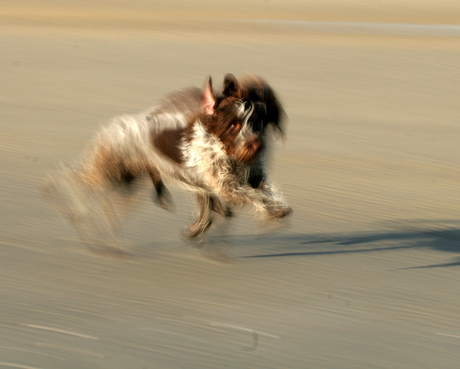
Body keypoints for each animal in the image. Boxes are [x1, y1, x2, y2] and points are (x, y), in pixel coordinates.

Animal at [41, 75, 290, 250]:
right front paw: (275, 211)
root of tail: (112, 125)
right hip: (108, 172)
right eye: (233, 124)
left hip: (128, 183)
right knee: (68, 177)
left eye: (257, 122)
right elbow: (253, 196)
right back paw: (59, 195)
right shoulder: (226, 184)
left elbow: (267, 192)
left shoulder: (251, 177)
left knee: (107, 208)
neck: (228, 152)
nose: (256, 145)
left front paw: (277, 208)